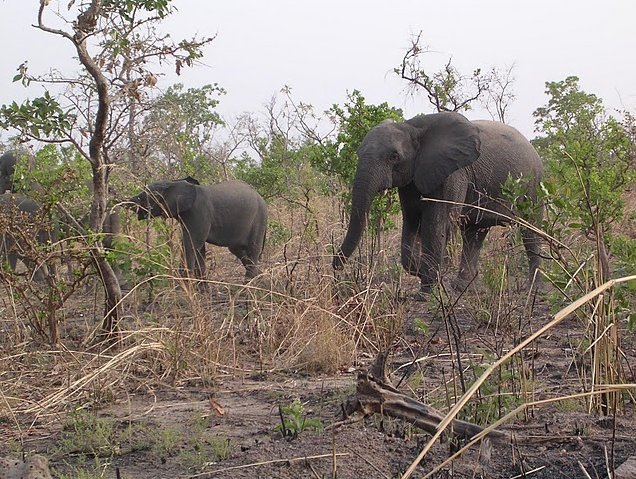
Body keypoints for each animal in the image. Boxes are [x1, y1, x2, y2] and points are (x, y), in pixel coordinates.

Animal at [129, 178, 268, 280]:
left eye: (148, 195)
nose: (129, 201)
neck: (174, 183)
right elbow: (199, 250)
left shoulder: (199, 213)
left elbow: (191, 245)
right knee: (237, 250)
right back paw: (260, 278)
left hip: (259, 219)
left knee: (253, 249)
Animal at [330, 112, 544, 296]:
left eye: (394, 157)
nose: (335, 266)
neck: (412, 128)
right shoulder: (412, 179)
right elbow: (411, 221)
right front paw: (424, 272)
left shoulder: (454, 174)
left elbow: (436, 223)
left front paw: (426, 292)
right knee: (473, 233)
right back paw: (463, 289)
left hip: (534, 183)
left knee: (531, 229)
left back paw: (534, 289)